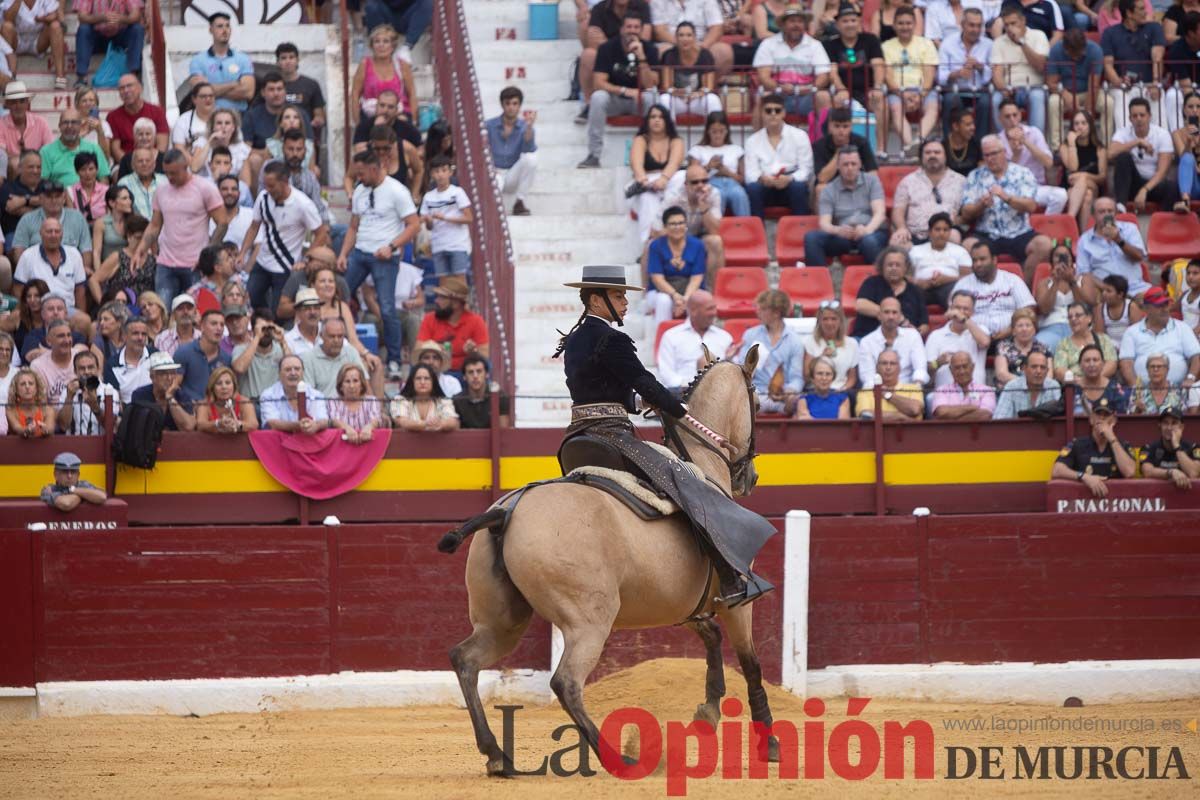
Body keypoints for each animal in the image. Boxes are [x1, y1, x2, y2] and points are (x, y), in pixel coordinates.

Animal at [441, 345, 777, 777]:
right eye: (758, 403)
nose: (749, 477)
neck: (703, 463)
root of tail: (507, 512)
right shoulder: (737, 600)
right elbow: (751, 663)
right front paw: (769, 742)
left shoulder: (682, 605)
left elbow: (711, 637)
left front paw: (707, 712)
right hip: (589, 621)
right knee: (565, 682)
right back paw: (619, 757)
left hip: (502, 621)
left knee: (465, 659)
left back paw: (498, 755)